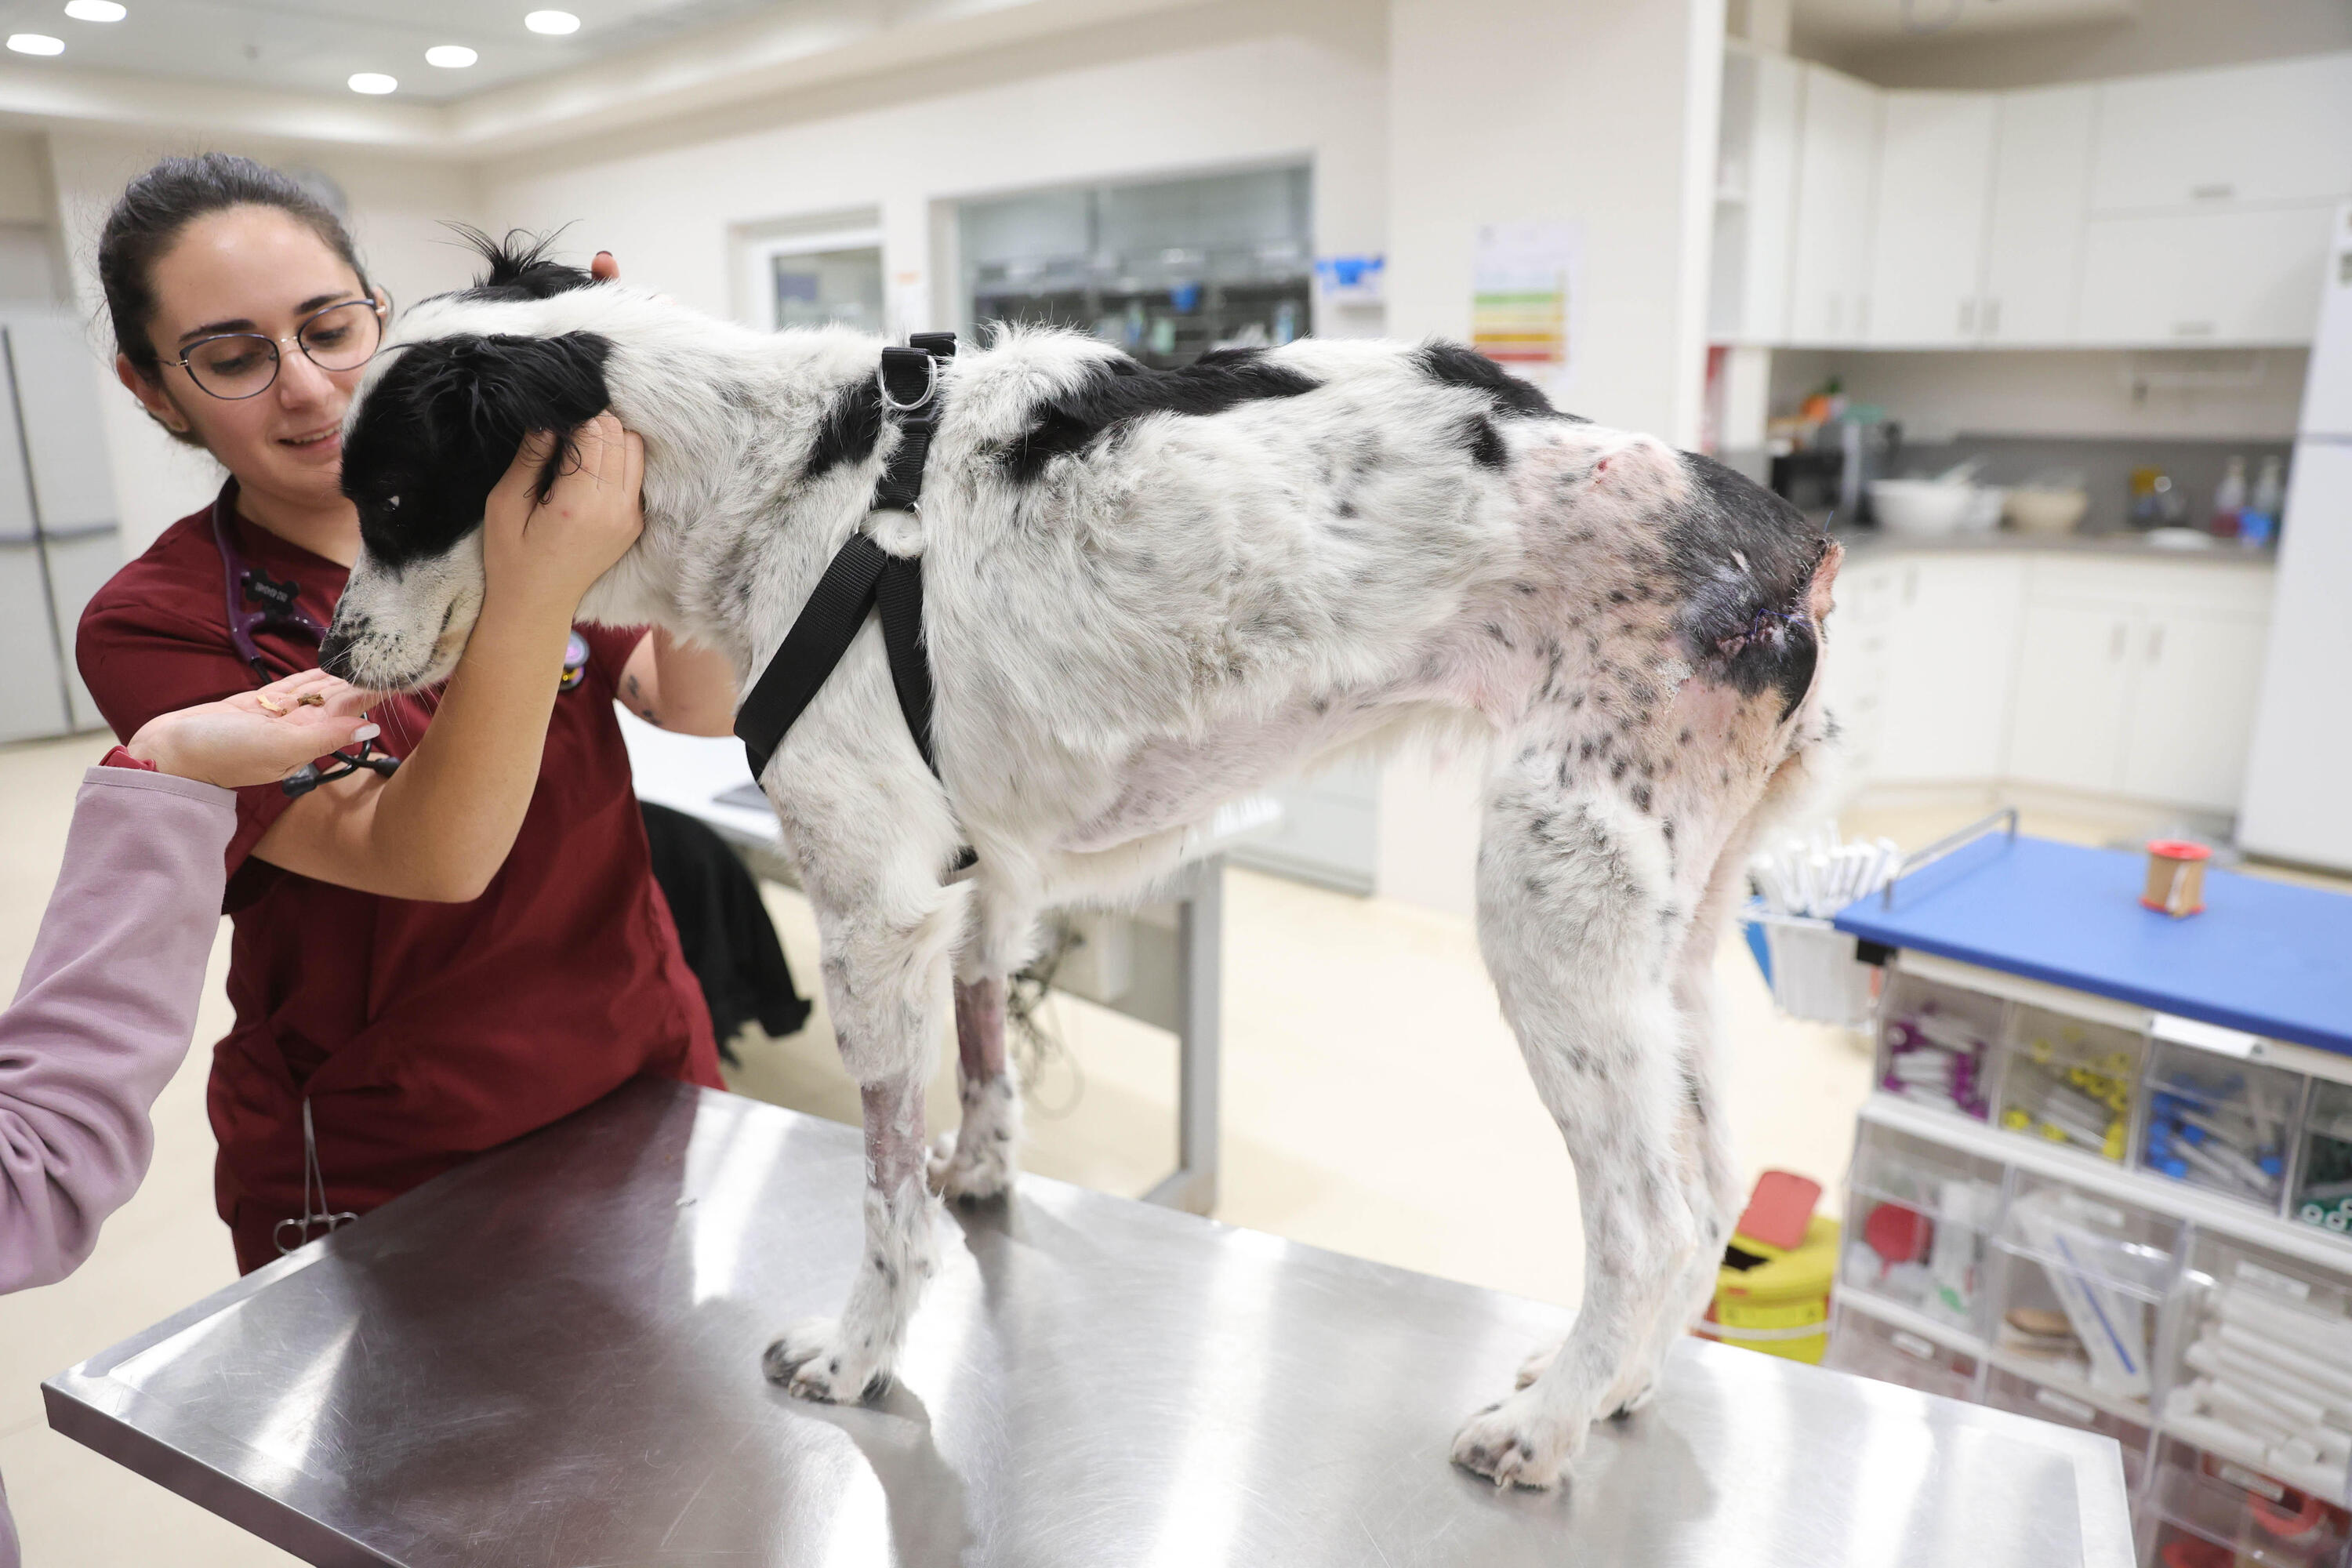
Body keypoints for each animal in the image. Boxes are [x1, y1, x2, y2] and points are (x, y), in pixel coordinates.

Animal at [327, 232, 1835, 1486]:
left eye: (392, 495)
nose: (331, 656)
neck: (781, 475)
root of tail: (1782, 538)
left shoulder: (870, 908)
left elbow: (881, 1190)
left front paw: (864, 1352)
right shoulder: (976, 873)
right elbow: (988, 1048)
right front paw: (982, 1175)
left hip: (1549, 914)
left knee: (1646, 1218)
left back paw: (1548, 1423)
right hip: (1666, 943)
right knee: (1711, 1193)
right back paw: (1620, 1387)